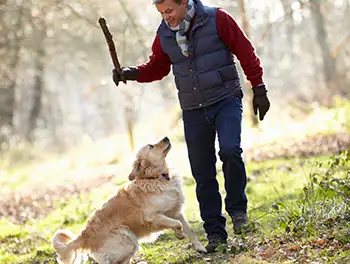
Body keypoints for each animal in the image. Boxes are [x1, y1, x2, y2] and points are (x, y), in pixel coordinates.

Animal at [51, 137, 205, 262]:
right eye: (151, 146)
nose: (166, 137)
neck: (155, 178)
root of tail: (84, 235)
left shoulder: (176, 211)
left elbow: (190, 229)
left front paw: (200, 248)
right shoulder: (153, 217)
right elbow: (177, 224)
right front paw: (179, 235)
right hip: (127, 238)